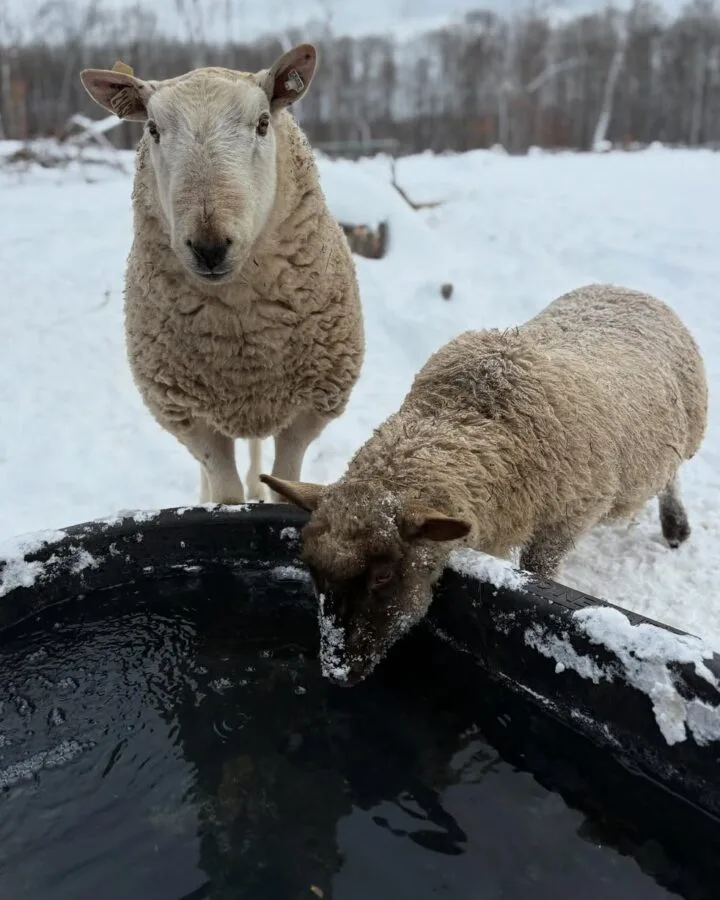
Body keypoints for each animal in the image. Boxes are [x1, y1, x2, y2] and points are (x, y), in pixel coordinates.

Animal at [79, 45, 364, 504]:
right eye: (153, 129)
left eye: (263, 123)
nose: (209, 247)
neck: (241, 333)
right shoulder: (189, 414)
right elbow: (224, 491)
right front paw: (224, 502)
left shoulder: (308, 409)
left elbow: (286, 482)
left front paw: (271, 494)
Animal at [262, 283, 708, 686]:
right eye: (311, 570)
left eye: (384, 577)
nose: (337, 674)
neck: (469, 416)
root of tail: (628, 289)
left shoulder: (566, 519)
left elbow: (539, 573)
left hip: (682, 439)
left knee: (671, 477)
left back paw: (676, 527)